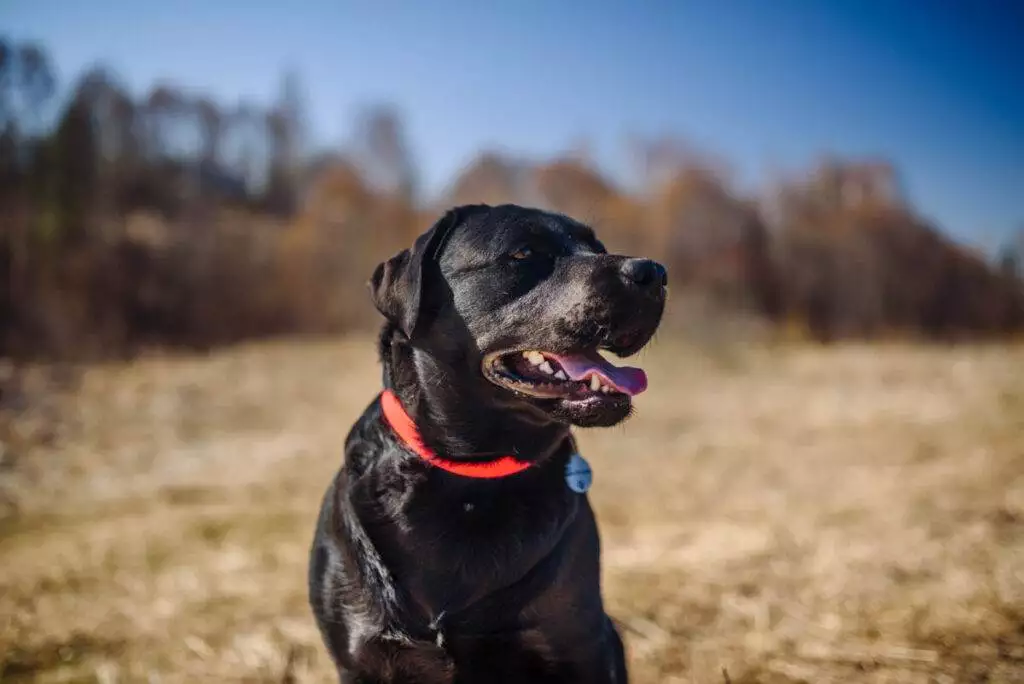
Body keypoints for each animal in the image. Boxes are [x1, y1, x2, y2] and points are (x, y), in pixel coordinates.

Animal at [307, 204, 667, 684]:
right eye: (524, 253)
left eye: (598, 248)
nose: (655, 272)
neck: (470, 480)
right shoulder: (362, 656)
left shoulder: (582, 644)